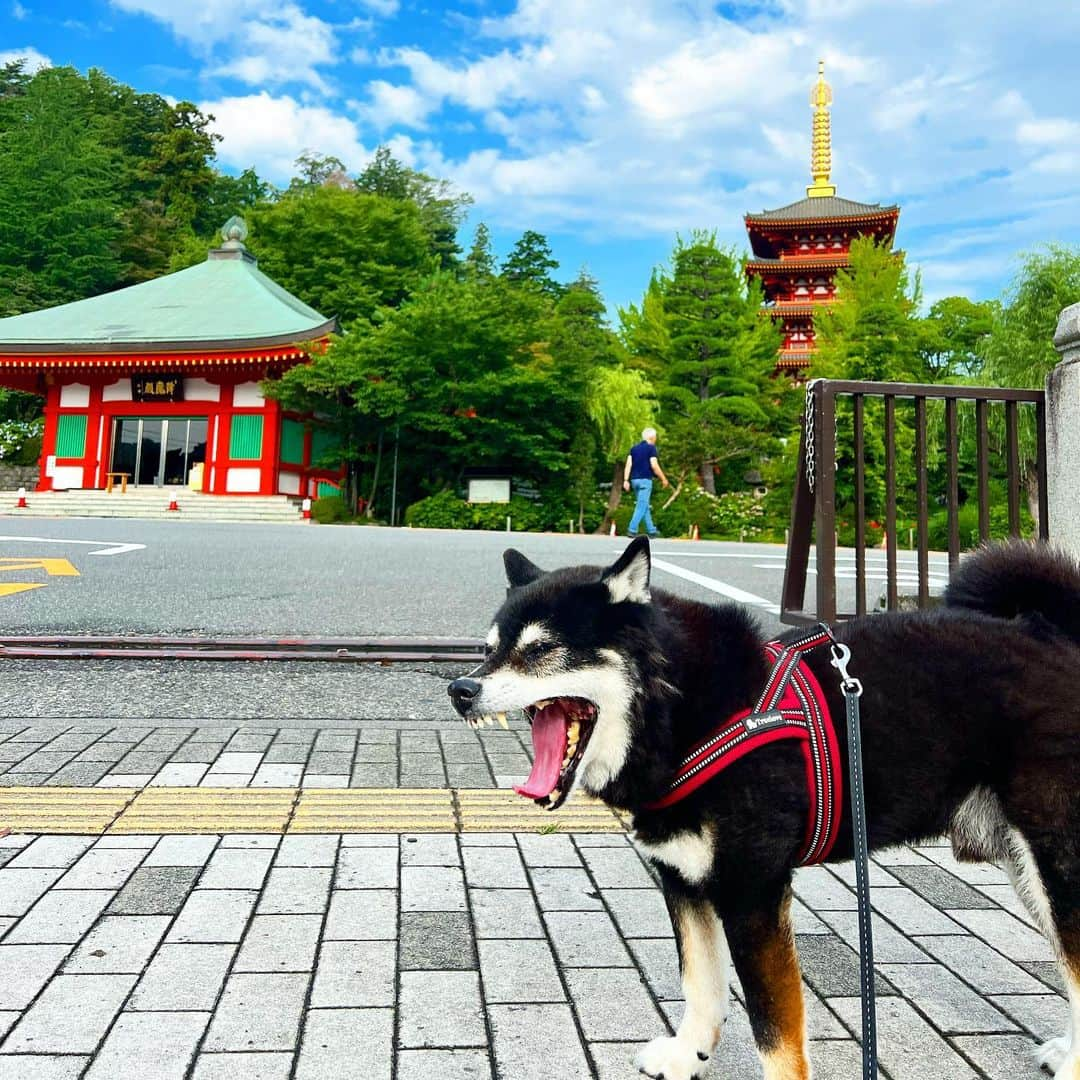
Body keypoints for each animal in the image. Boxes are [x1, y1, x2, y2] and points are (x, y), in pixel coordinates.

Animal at [447, 540, 1080, 1080]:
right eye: (489, 650)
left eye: (541, 649)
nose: (460, 690)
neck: (685, 711)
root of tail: (1051, 634)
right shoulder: (683, 877)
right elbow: (700, 982)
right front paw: (688, 1054)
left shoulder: (752, 891)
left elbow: (775, 1030)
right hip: (1029, 870)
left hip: (1053, 863)